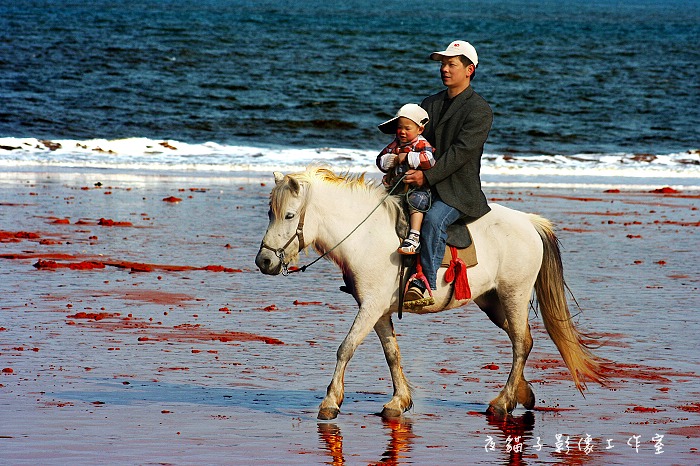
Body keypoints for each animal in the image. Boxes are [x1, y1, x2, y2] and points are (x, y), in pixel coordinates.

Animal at [254, 167, 604, 418]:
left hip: (513, 295)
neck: (365, 235)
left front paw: (330, 401)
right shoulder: (379, 310)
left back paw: (502, 401)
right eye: (270, 213)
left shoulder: (370, 307)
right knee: (525, 340)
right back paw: (523, 393)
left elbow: (346, 348)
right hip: (491, 301)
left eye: (288, 215)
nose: (264, 261)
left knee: (520, 343)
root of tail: (530, 223)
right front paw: (399, 401)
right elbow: (392, 354)